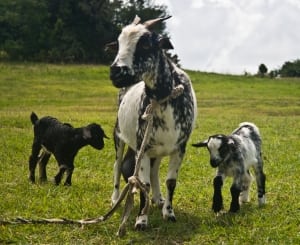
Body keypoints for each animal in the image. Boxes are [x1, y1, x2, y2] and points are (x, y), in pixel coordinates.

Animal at [109, 16, 198, 231]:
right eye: (118, 44)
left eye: (145, 44)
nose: (116, 72)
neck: (163, 97)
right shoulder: (143, 147)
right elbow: (144, 184)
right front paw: (141, 219)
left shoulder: (179, 148)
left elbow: (170, 181)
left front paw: (169, 213)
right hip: (119, 134)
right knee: (117, 165)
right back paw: (115, 198)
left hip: (157, 147)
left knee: (155, 170)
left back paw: (158, 199)